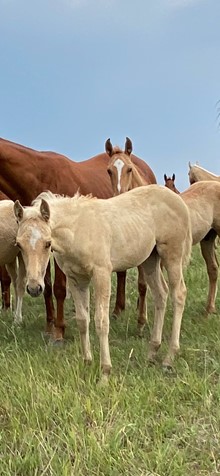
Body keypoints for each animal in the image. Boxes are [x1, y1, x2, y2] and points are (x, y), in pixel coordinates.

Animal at [14, 186, 192, 380]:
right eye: (19, 245)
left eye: (47, 243)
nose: (34, 288)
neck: (78, 230)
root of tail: (177, 198)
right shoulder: (76, 279)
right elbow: (82, 320)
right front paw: (87, 362)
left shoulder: (102, 274)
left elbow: (101, 321)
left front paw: (105, 372)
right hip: (150, 259)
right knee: (161, 294)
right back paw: (152, 352)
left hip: (172, 255)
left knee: (179, 294)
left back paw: (169, 358)